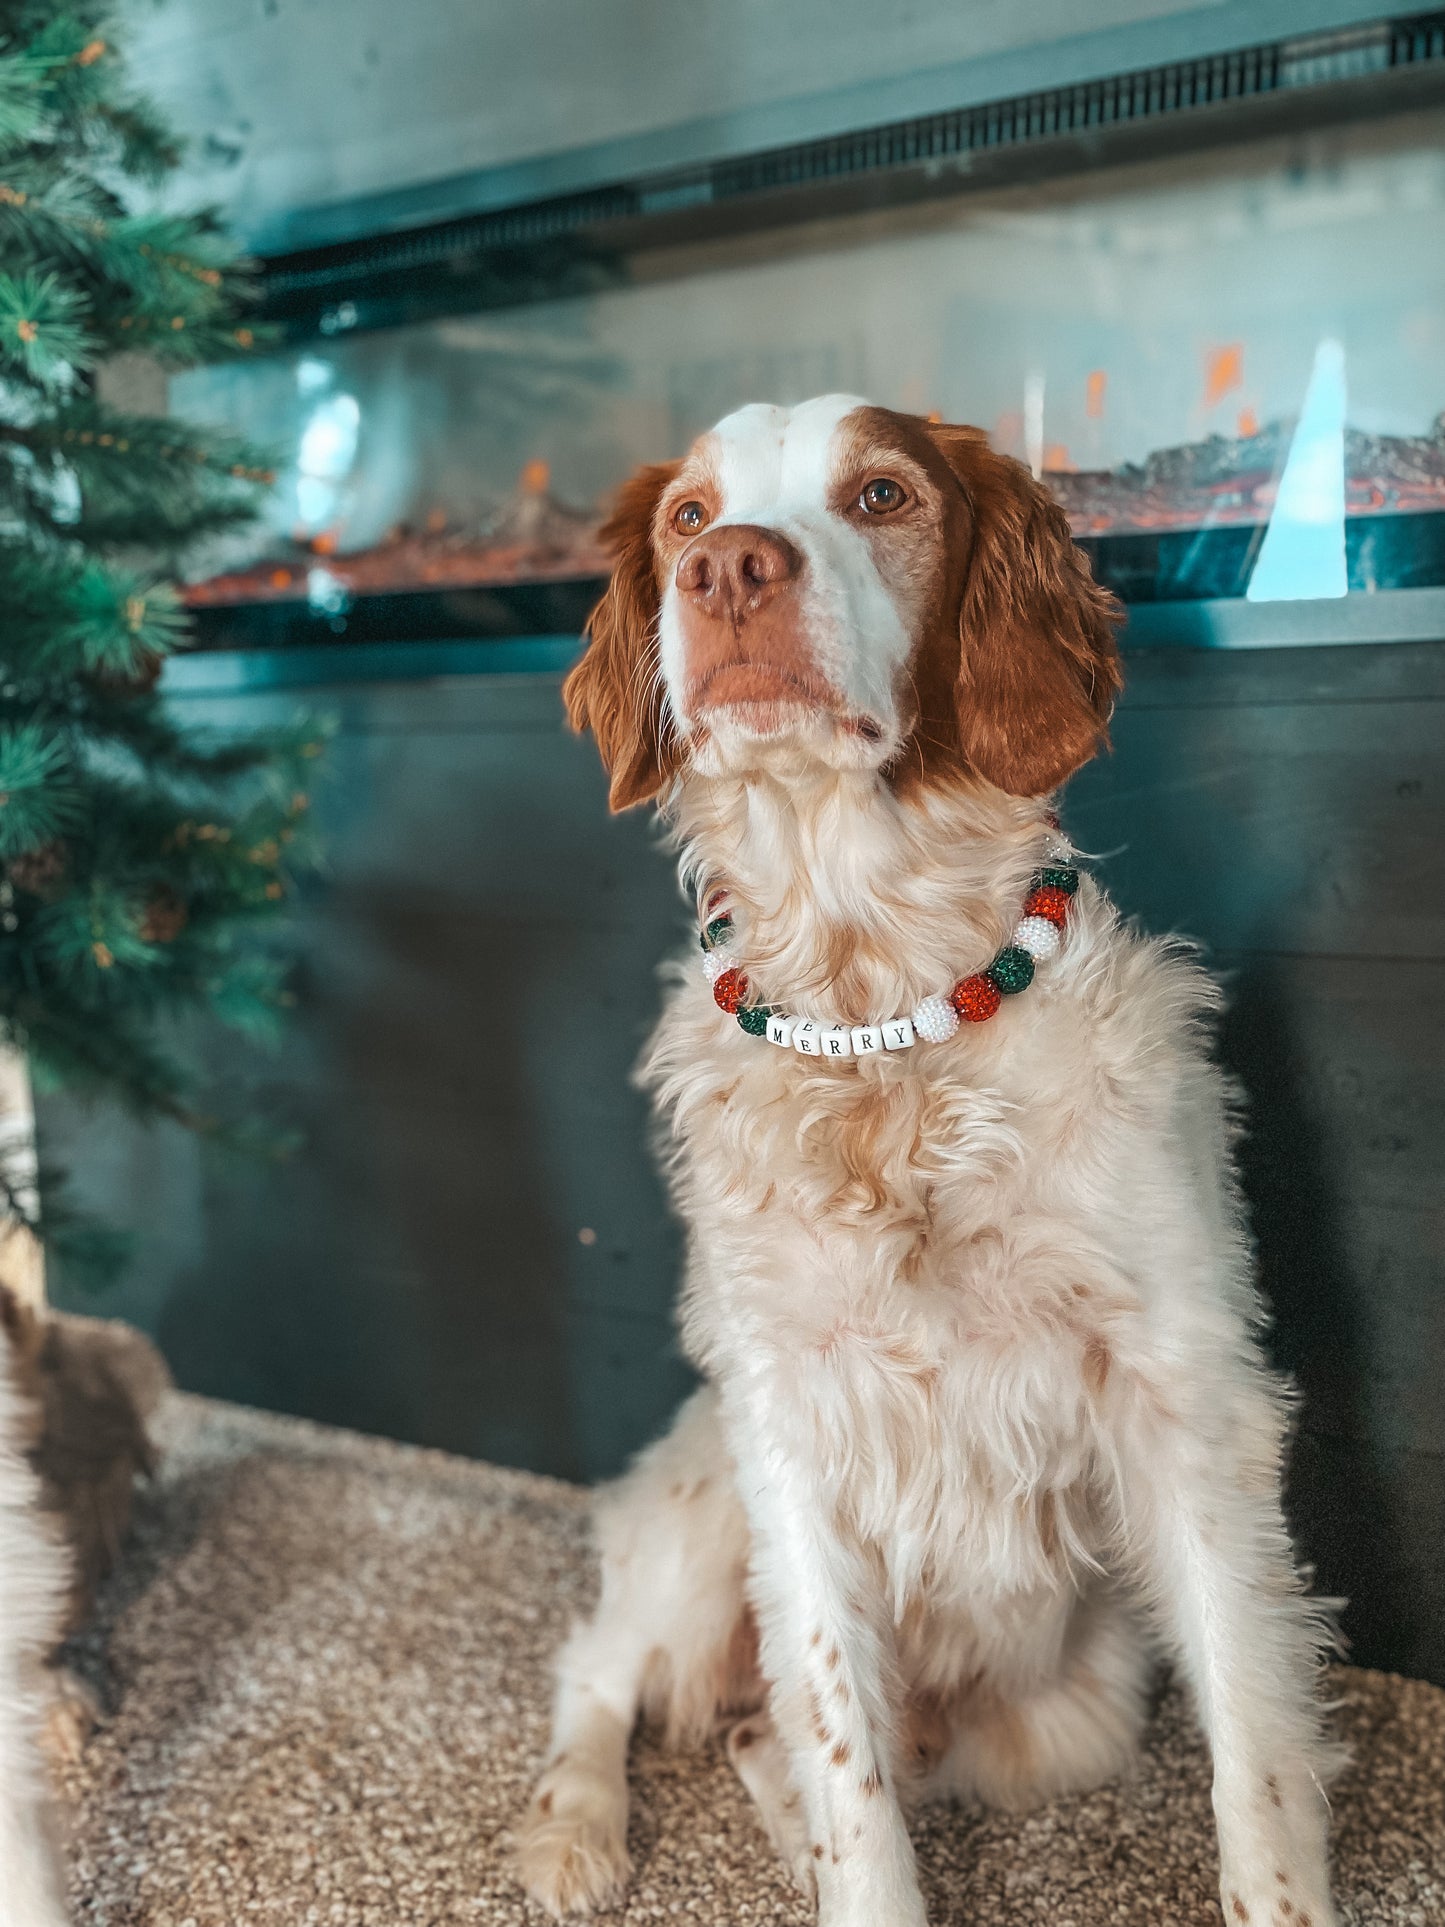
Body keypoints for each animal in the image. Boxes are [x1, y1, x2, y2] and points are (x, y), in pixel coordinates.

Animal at [516, 395, 1340, 1927]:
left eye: (882, 493)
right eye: (685, 515)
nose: (724, 566)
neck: (881, 1032)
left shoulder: (1184, 1398)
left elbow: (1256, 1746)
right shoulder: (786, 1428)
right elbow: (847, 1762)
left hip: (1063, 1713)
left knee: (755, 1734)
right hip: (701, 1511)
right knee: (604, 1670)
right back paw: (572, 1828)